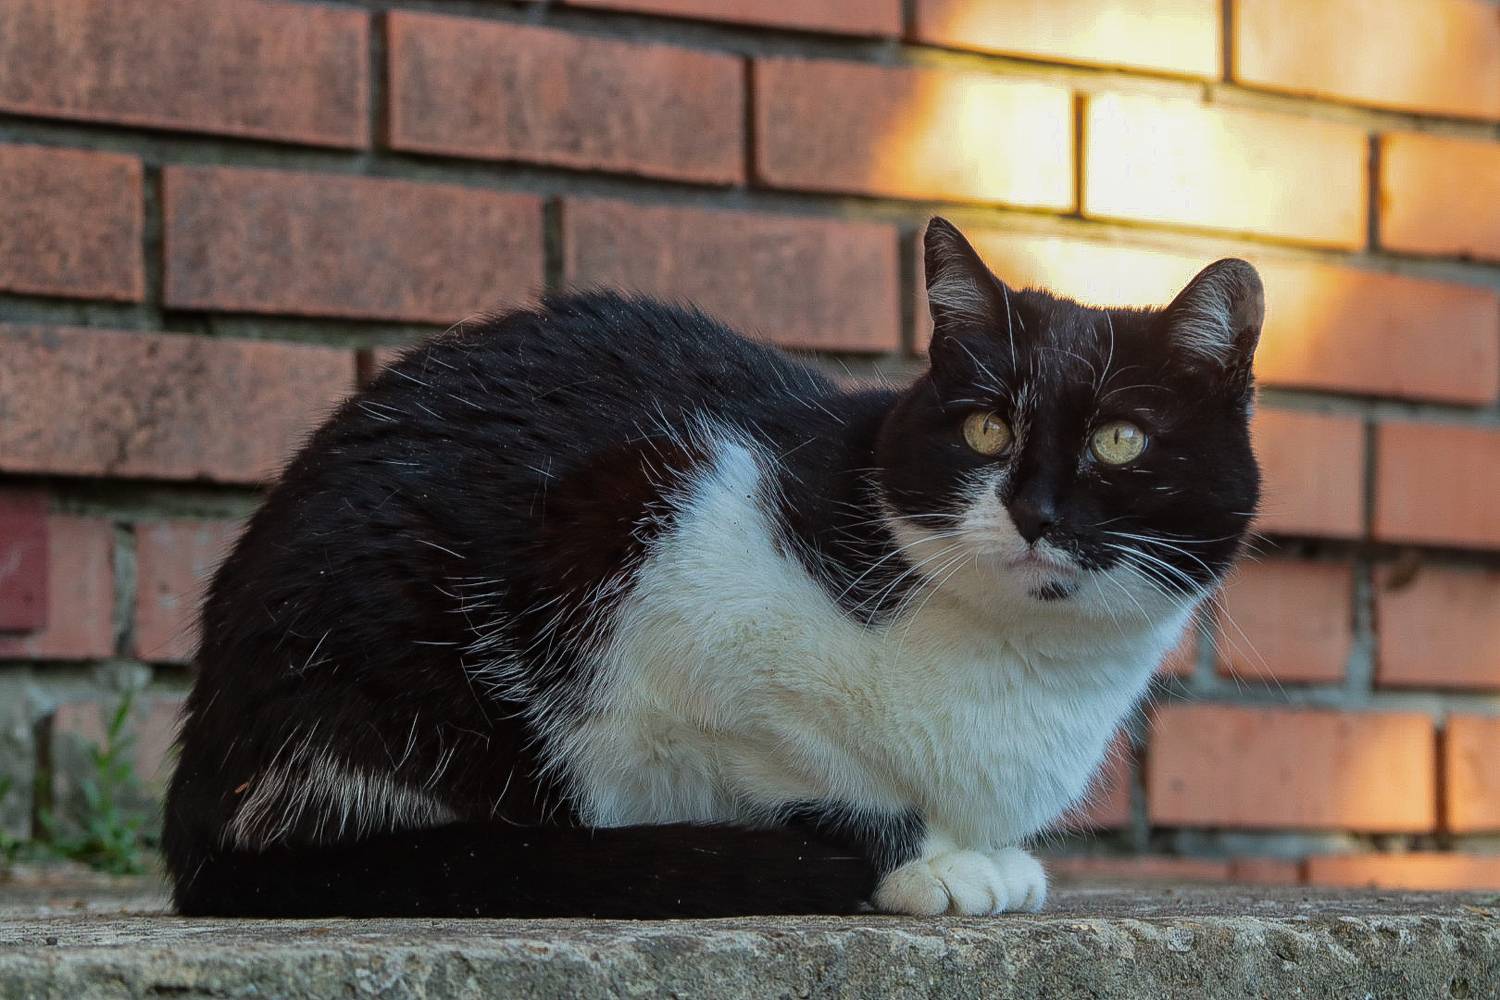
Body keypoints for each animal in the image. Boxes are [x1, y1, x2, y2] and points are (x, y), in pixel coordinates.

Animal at [162, 217, 1262, 918]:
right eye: (986, 427)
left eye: (1119, 441)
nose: (1033, 513)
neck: (1022, 667)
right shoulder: (671, 584)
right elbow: (815, 770)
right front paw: (929, 864)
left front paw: (979, 854)